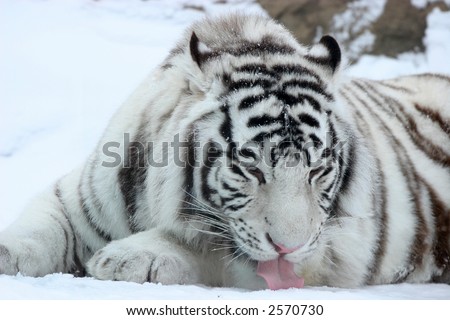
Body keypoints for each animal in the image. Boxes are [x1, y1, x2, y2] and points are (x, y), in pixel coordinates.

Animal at [0, 13, 450, 288]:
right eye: (252, 166)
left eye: (317, 170)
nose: (289, 247)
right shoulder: (78, 196)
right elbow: (41, 228)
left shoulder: (321, 252)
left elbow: (210, 247)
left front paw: (128, 258)